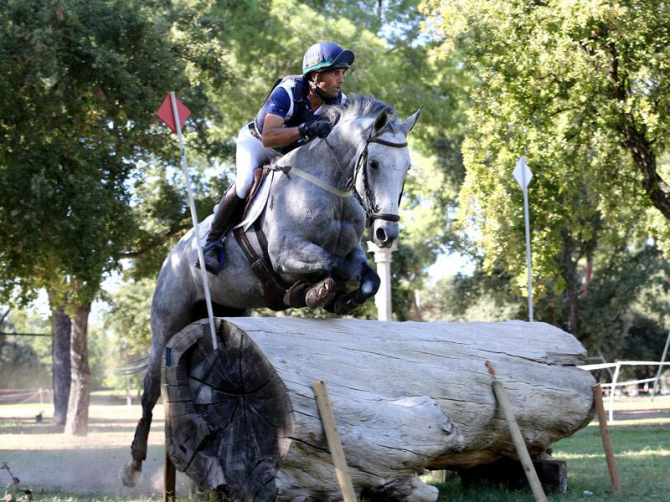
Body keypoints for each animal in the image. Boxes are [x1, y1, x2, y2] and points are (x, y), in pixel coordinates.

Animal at [123, 94, 422, 486]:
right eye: (373, 163)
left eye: (407, 167)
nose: (387, 233)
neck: (334, 188)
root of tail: (174, 252)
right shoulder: (285, 252)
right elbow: (335, 268)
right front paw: (312, 292)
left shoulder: (353, 252)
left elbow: (368, 279)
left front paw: (337, 299)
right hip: (167, 321)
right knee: (150, 389)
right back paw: (133, 465)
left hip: (230, 309)